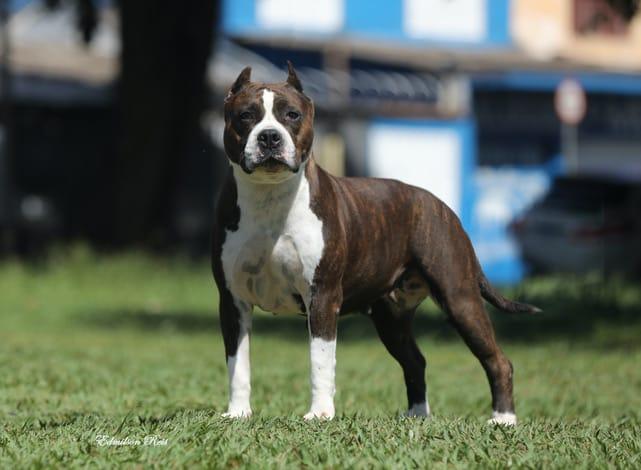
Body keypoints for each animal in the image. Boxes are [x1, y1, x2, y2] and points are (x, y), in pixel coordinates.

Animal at [212, 61, 536, 422]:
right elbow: (237, 364)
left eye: (291, 115)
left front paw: (320, 414)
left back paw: (503, 420)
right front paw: (238, 414)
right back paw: (417, 415)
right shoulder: (233, 301)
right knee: (415, 360)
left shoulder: (322, 296)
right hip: (391, 318)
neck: (269, 197)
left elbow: (320, 360)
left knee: (498, 360)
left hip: (460, 298)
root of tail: (442, 207)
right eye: (246, 116)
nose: (269, 136)